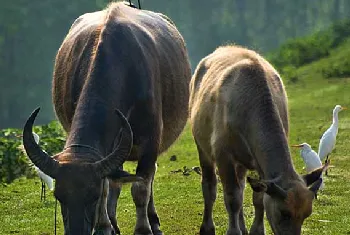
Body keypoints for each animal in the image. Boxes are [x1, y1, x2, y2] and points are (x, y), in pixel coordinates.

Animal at [190, 45, 324, 235]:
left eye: (307, 214)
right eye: (284, 213)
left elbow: (258, 198)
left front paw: (256, 230)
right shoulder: (223, 155)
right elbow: (232, 197)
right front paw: (233, 231)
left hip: (241, 161)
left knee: (241, 186)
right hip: (202, 147)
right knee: (210, 187)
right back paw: (208, 228)